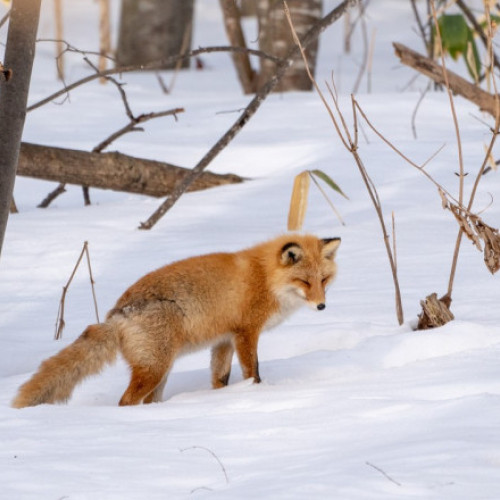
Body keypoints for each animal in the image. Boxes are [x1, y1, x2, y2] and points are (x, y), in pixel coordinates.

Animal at [12, 233, 340, 406]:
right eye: (304, 282)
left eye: (324, 280)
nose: (323, 306)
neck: (264, 278)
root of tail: (115, 313)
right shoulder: (247, 333)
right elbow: (253, 371)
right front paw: (257, 393)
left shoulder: (224, 340)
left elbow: (219, 378)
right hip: (155, 369)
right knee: (125, 402)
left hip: (161, 371)